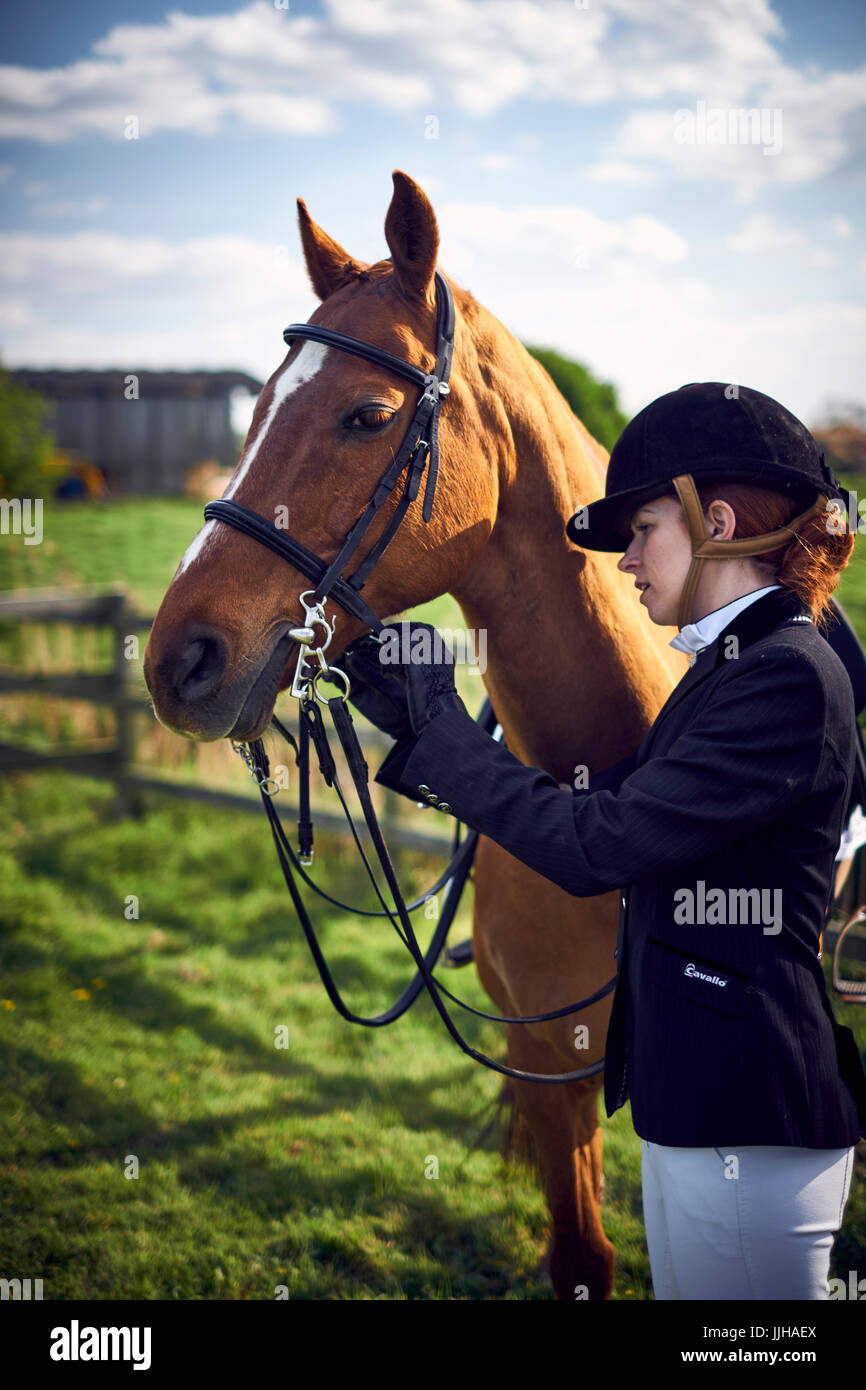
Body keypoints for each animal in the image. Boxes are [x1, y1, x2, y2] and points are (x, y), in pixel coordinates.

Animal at [143, 169, 687, 1300]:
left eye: (367, 415)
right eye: (256, 409)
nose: (177, 659)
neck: (615, 807)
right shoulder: (548, 1073)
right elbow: (582, 1252)